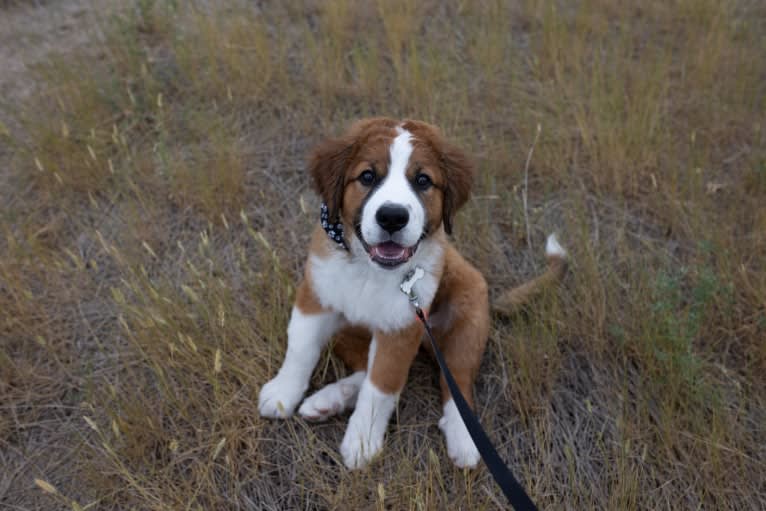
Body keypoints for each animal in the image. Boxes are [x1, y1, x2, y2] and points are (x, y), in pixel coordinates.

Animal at [260, 118, 568, 470]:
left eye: (423, 181)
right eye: (367, 176)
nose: (392, 217)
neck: (368, 268)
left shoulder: (400, 329)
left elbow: (382, 385)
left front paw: (362, 440)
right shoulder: (316, 297)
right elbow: (300, 349)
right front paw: (283, 393)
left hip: (468, 321)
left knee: (457, 383)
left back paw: (463, 438)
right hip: (348, 330)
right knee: (363, 368)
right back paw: (329, 400)